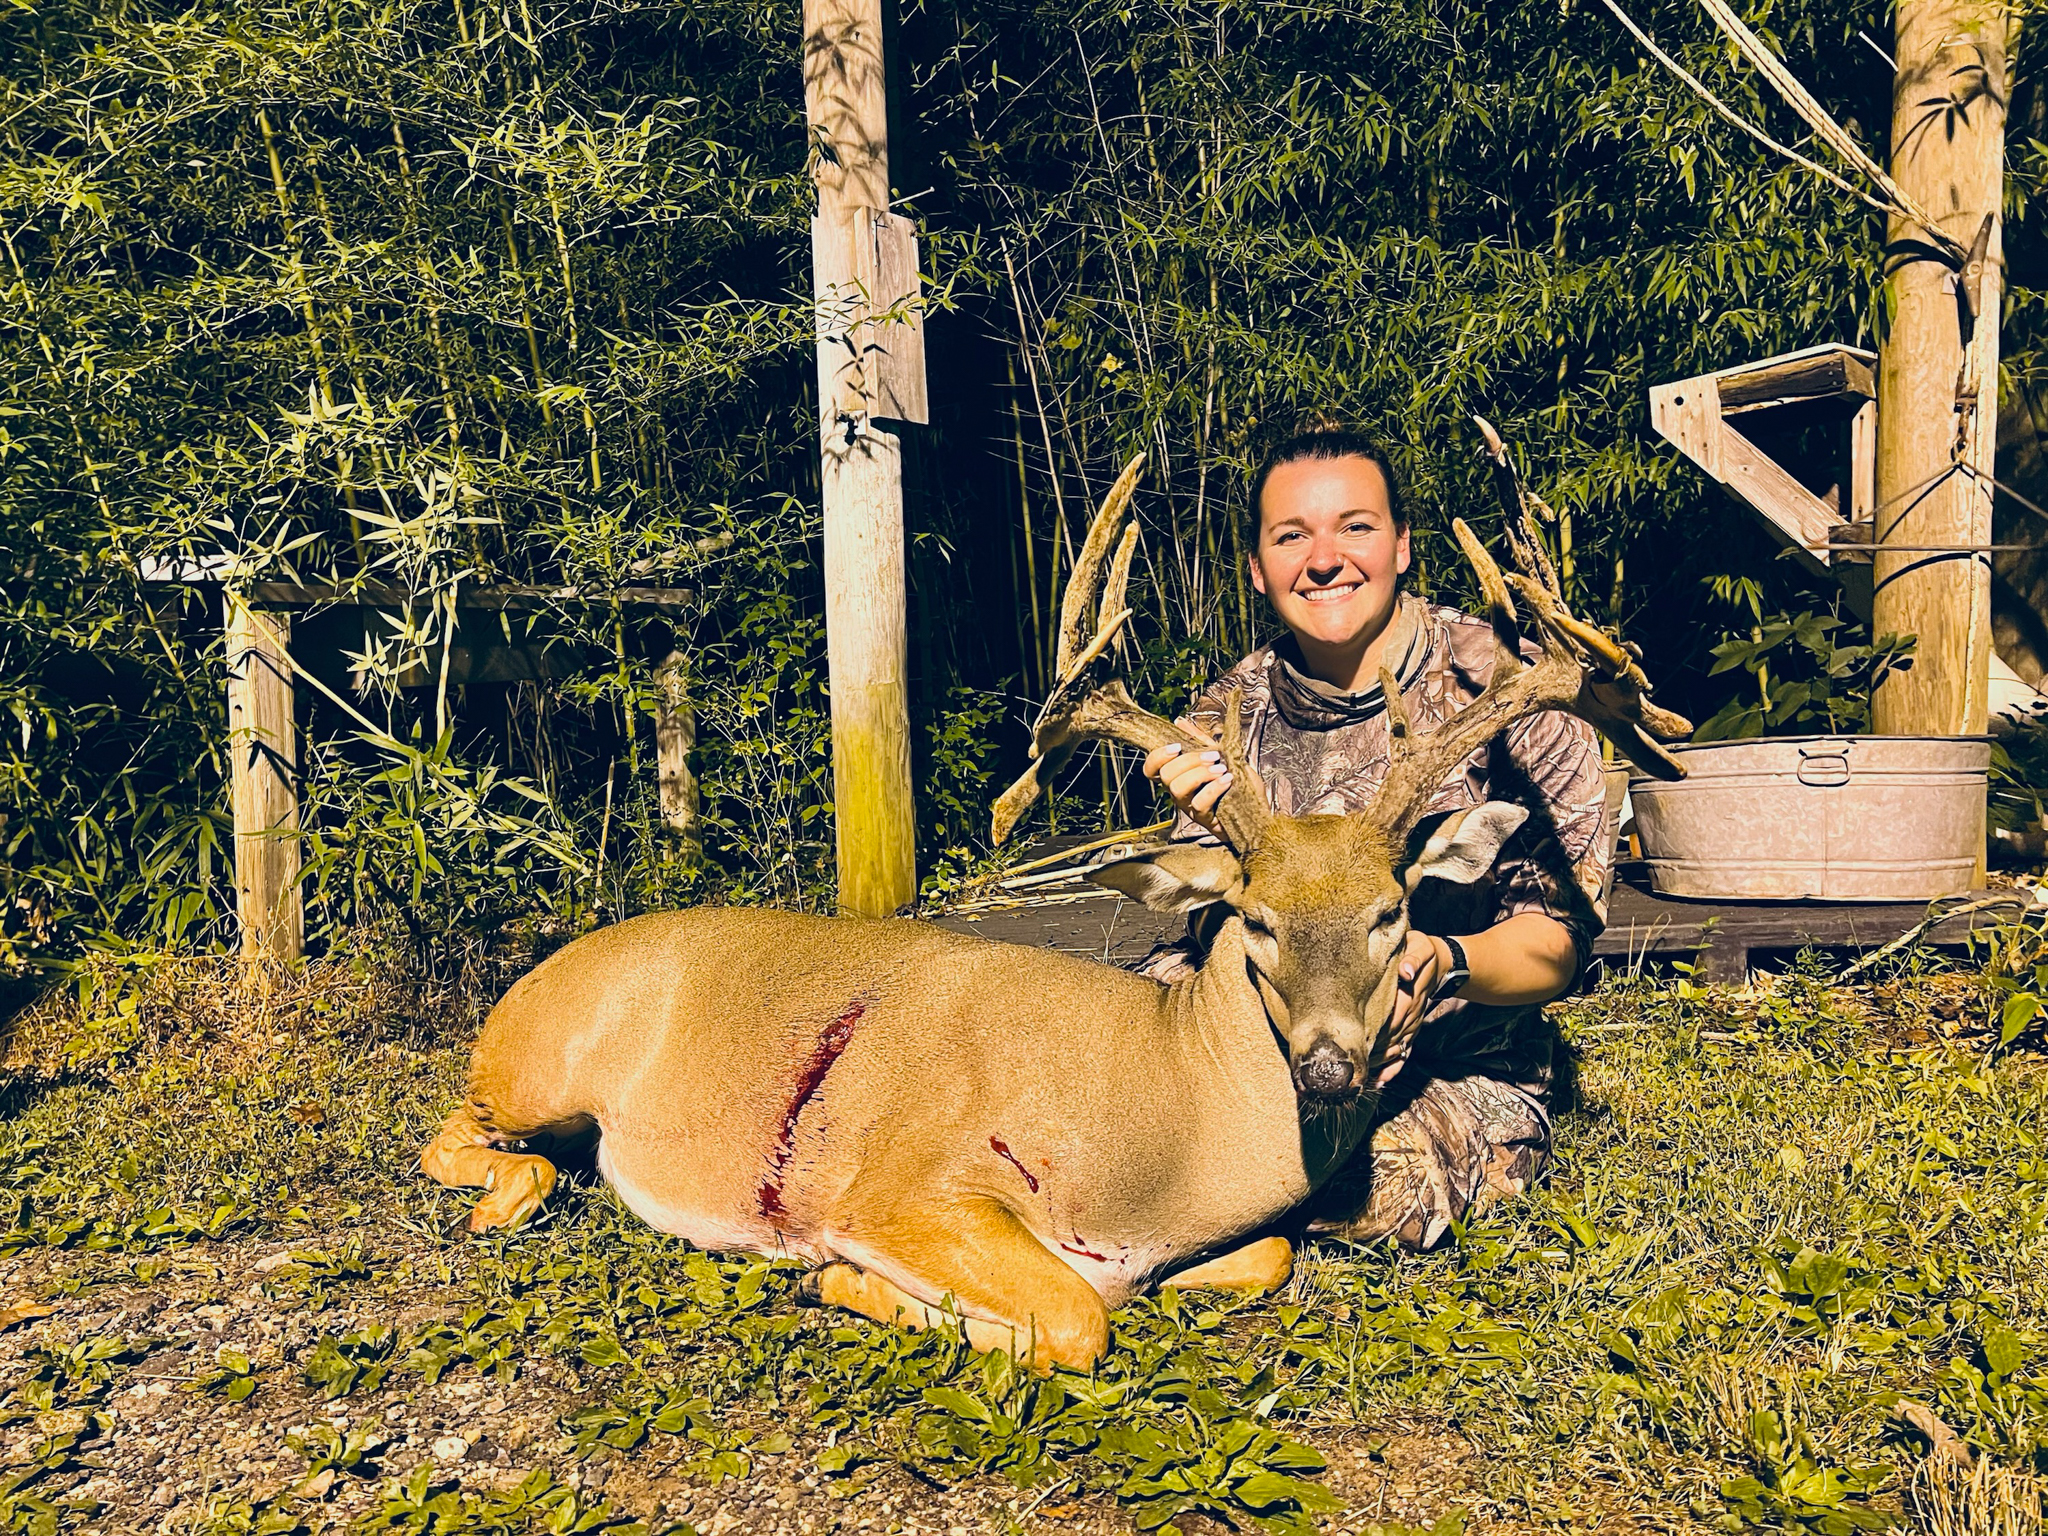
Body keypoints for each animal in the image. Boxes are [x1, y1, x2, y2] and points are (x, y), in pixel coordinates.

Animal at [423, 421, 1687, 1368]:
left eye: (1392, 915)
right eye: (1256, 919)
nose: (1328, 1066)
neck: (1161, 1123)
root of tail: (533, 976)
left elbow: (1256, 1260)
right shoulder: (905, 1184)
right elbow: (1076, 1319)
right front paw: (844, 1284)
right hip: (532, 1071)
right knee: (461, 1134)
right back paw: (512, 1195)